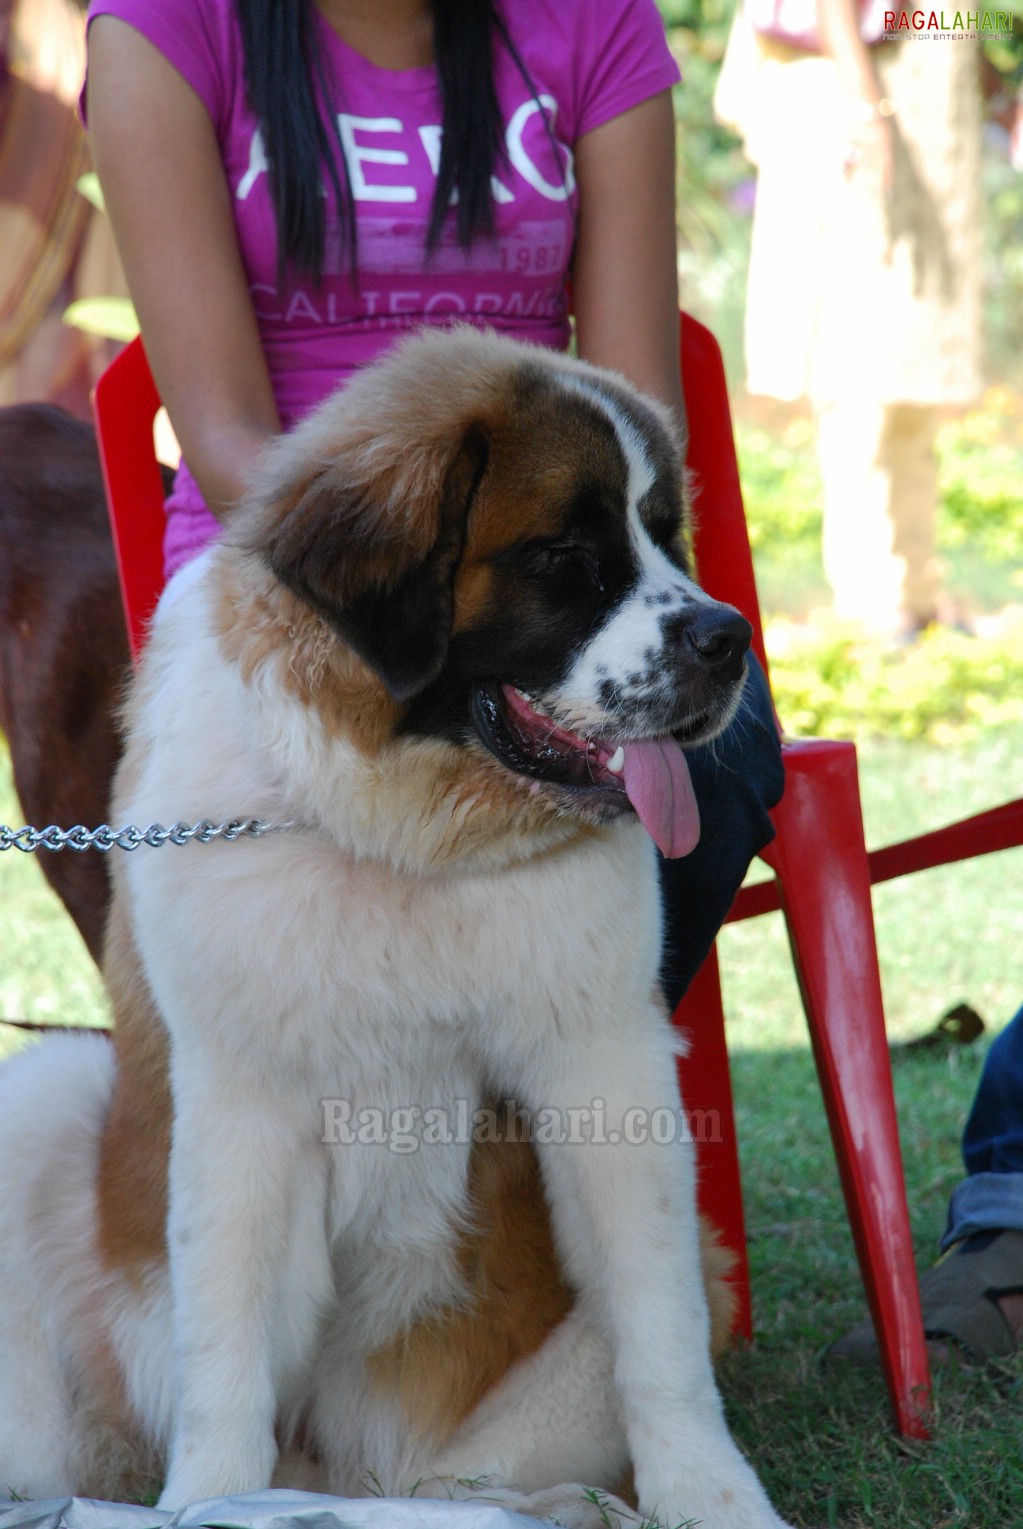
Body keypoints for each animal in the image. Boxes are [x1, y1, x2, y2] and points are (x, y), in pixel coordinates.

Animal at [0, 328, 789, 1522]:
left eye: (667, 534)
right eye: (564, 557)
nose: (728, 635)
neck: (398, 830)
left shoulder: (604, 1066)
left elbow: (661, 1327)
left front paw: (713, 1496)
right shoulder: (240, 1094)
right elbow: (225, 1341)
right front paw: (210, 1498)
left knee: (470, 1482)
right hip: (49, 1084)